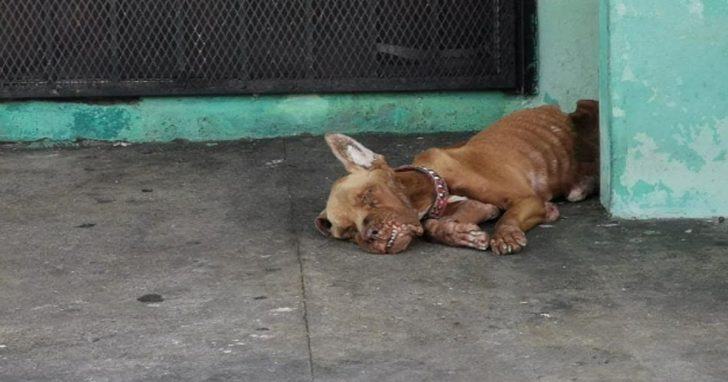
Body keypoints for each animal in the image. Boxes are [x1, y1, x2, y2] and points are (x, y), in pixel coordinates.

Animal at [316, 100, 600, 255]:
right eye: (348, 232)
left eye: (369, 196)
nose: (370, 235)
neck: (434, 185)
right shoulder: (479, 207)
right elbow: (433, 228)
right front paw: (461, 234)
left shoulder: (527, 200)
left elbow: (509, 217)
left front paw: (505, 235)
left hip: (585, 109)